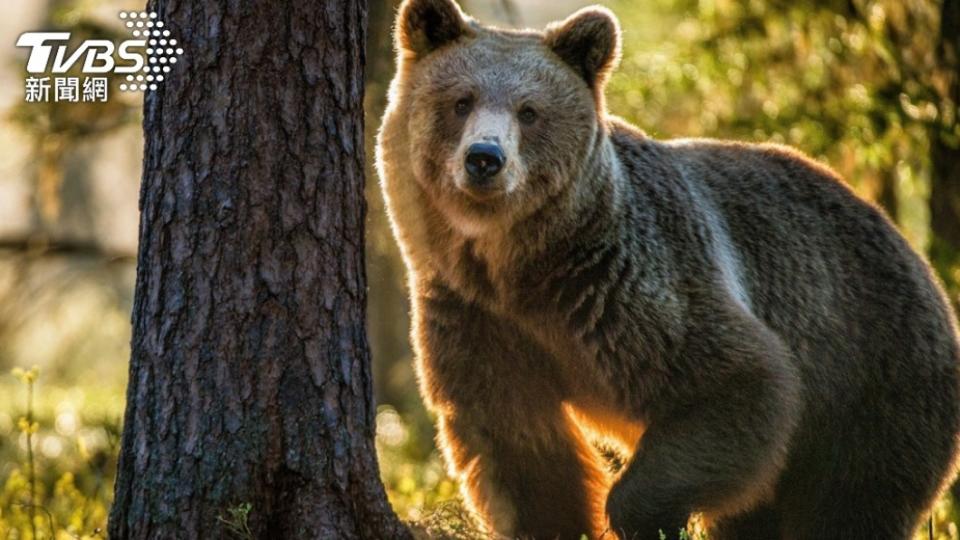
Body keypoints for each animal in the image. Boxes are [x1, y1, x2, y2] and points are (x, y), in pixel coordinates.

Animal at [374, 2, 960, 536]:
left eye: (529, 111)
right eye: (460, 100)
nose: (484, 158)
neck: (521, 265)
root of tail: (913, 255)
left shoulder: (628, 286)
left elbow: (737, 380)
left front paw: (637, 513)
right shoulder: (476, 315)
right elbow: (518, 445)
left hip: (870, 379)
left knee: (849, 503)